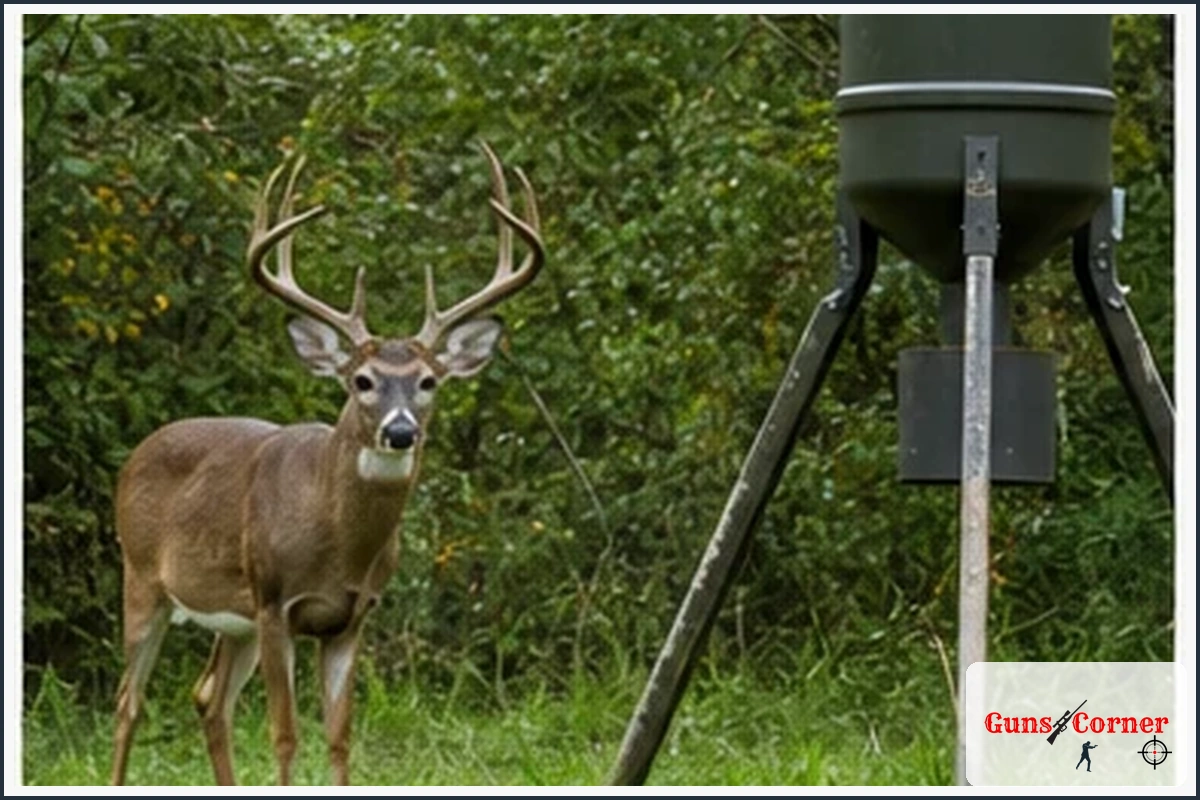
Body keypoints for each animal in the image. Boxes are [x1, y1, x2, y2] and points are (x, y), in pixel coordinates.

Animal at [110, 143, 544, 786]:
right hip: (143, 579)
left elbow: (339, 738)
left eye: (428, 381)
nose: (400, 431)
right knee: (129, 702)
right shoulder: (274, 602)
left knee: (209, 699)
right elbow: (285, 735)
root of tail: (137, 453)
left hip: (231, 617)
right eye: (362, 380)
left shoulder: (351, 617)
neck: (337, 541)